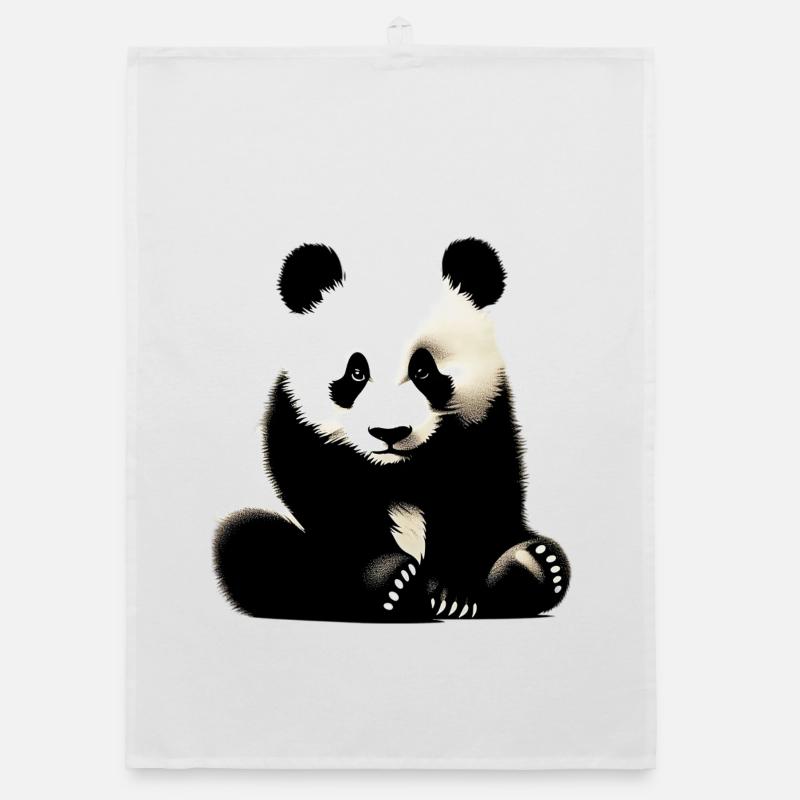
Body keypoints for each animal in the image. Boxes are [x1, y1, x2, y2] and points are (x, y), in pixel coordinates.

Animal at [213, 238, 570, 621]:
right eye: (356, 372)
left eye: (423, 370)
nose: (389, 432)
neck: (397, 470)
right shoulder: (301, 425)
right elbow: (330, 499)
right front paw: (391, 579)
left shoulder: (484, 423)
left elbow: (478, 495)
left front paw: (452, 593)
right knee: (252, 542)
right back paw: (396, 590)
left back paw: (530, 566)